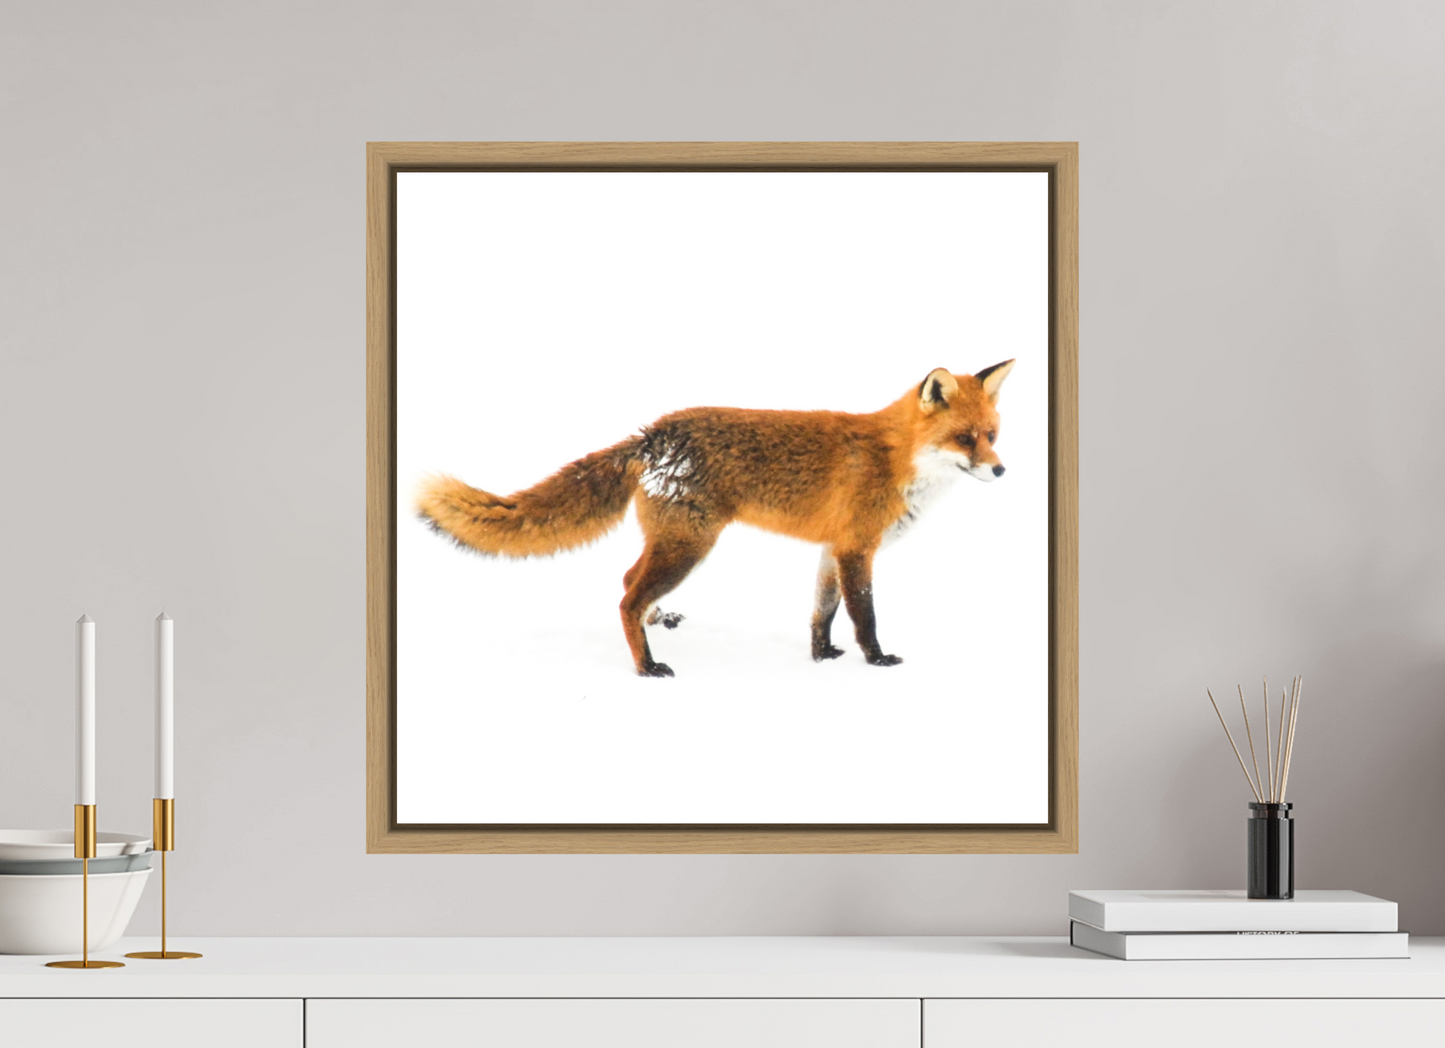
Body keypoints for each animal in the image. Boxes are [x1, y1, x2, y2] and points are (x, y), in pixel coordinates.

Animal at [416, 361, 1015, 678]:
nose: (1002, 470)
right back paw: (646, 667)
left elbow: (821, 613)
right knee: (626, 597)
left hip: (675, 543)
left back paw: (659, 623)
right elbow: (863, 615)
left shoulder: (832, 549)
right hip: (691, 546)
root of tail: (652, 435)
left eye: (992, 435)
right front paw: (877, 661)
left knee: (627, 581)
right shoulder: (856, 549)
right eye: (965, 439)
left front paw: (820, 657)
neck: (896, 460)